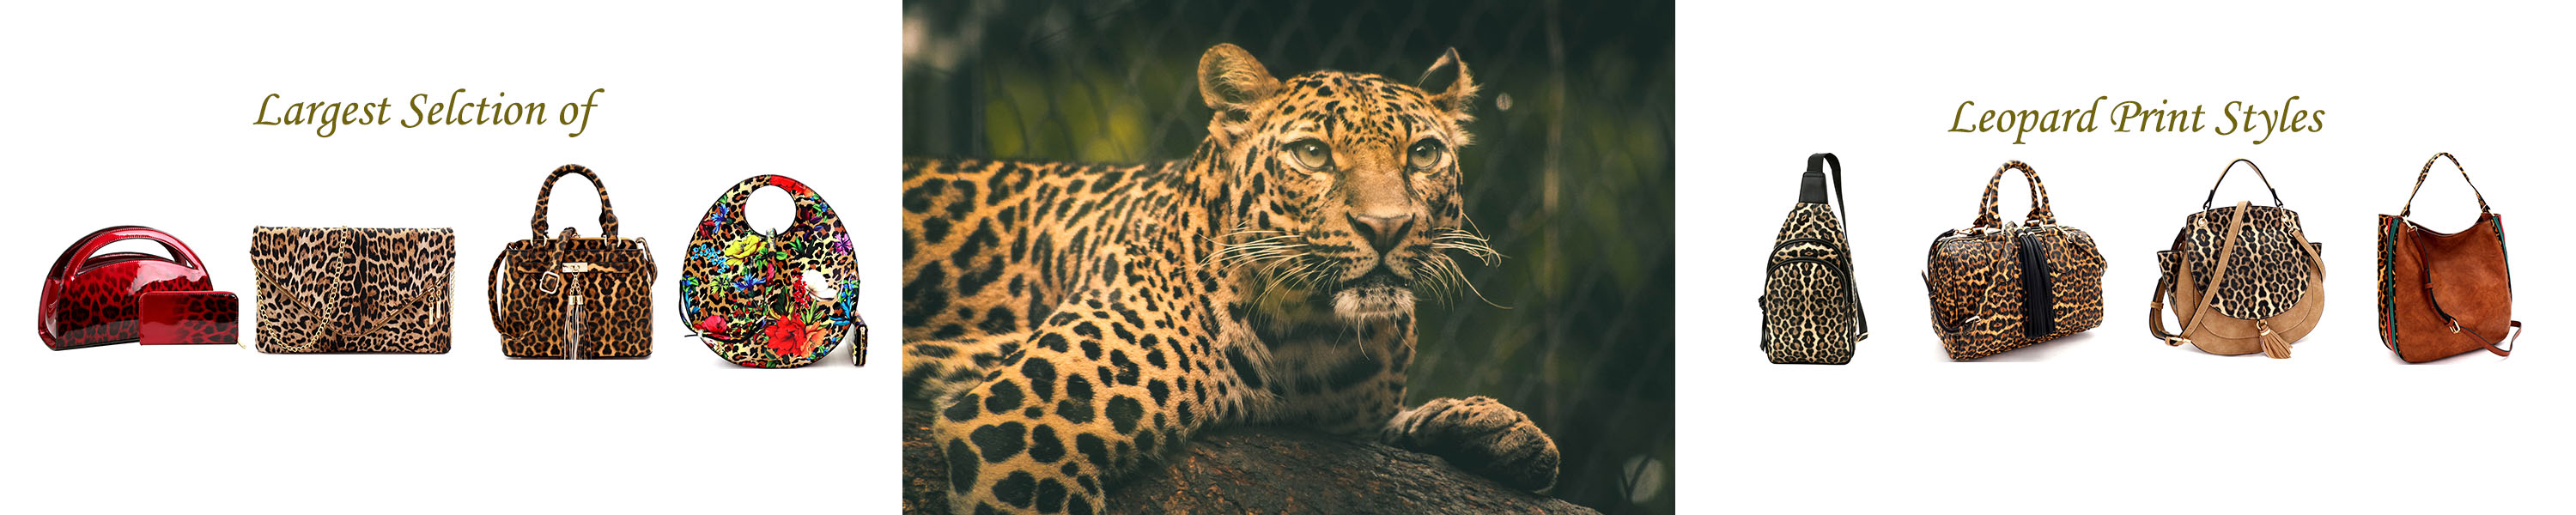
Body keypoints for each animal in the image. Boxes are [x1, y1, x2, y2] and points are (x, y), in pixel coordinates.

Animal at [901, 43, 1559, 514]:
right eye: (1312, 154)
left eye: (1423, 154)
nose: (1386, 226)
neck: (1313, 340)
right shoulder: (1020, 426)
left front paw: (1497, 428)